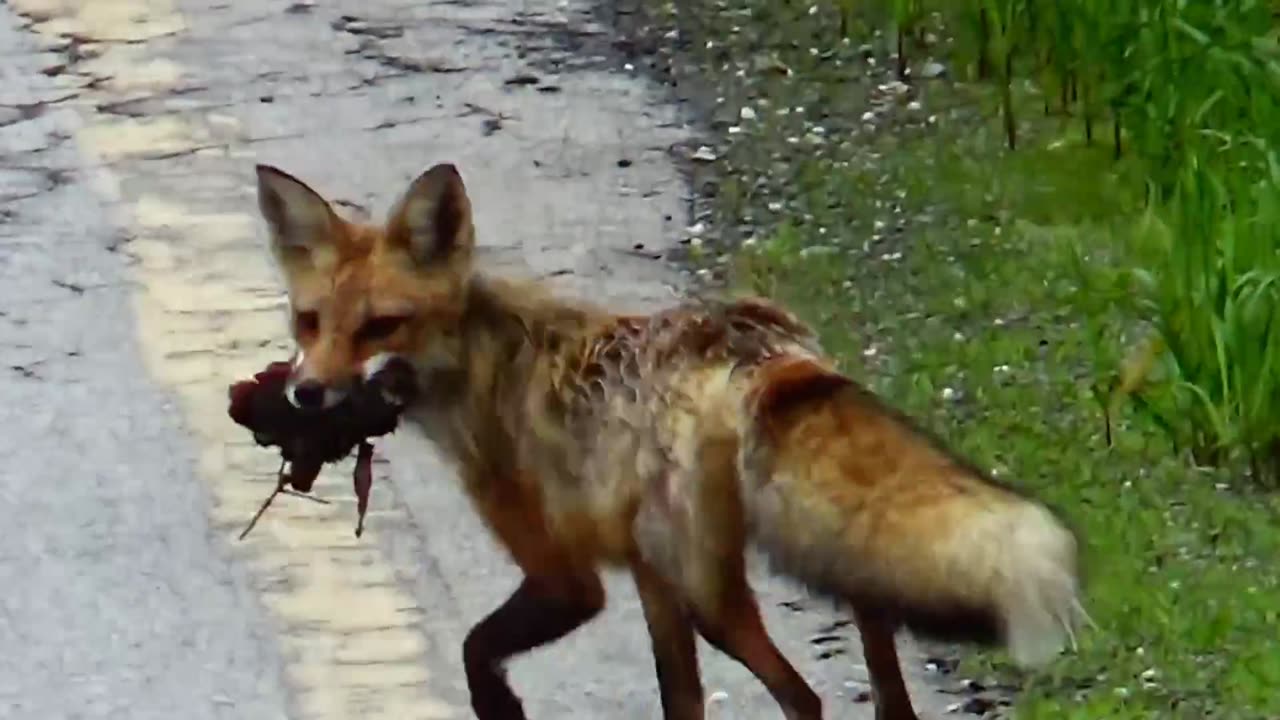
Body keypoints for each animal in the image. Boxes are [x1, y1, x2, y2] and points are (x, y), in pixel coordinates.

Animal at [252, 162, 1090, 717]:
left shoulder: (569, 577)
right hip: (820, 571)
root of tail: (762, 342)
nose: (305, 393)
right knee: (885, 692)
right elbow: (679, 702)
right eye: (310, 321)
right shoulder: (646, 578)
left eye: (380, 327)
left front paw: (499, 707)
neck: (489, 369)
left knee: (806, 700)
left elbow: (475, 651)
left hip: (711, 595)